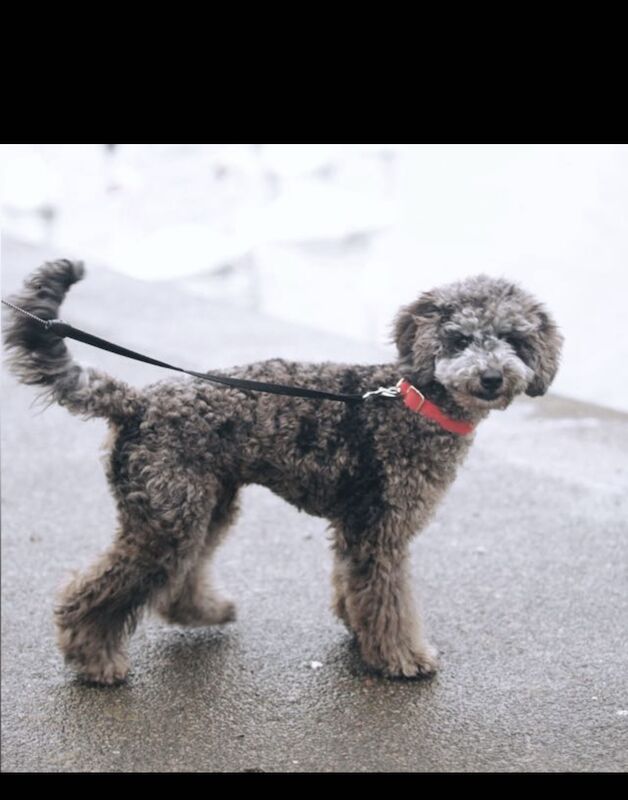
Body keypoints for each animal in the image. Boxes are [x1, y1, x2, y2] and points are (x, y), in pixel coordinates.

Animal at [2, 260, 560, 684]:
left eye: (512, 338)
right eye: (459, 338)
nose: (491, 377)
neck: (416, 402)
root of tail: (136, 402)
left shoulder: (357, 530)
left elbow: (355, 590)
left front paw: (358, 632)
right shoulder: (379, 531)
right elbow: (388, 602)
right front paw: (402, 658)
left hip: (202, 505)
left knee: (180, 574)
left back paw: (202, 612)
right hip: (167, 519)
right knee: (92, 593)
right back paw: (95, 661)